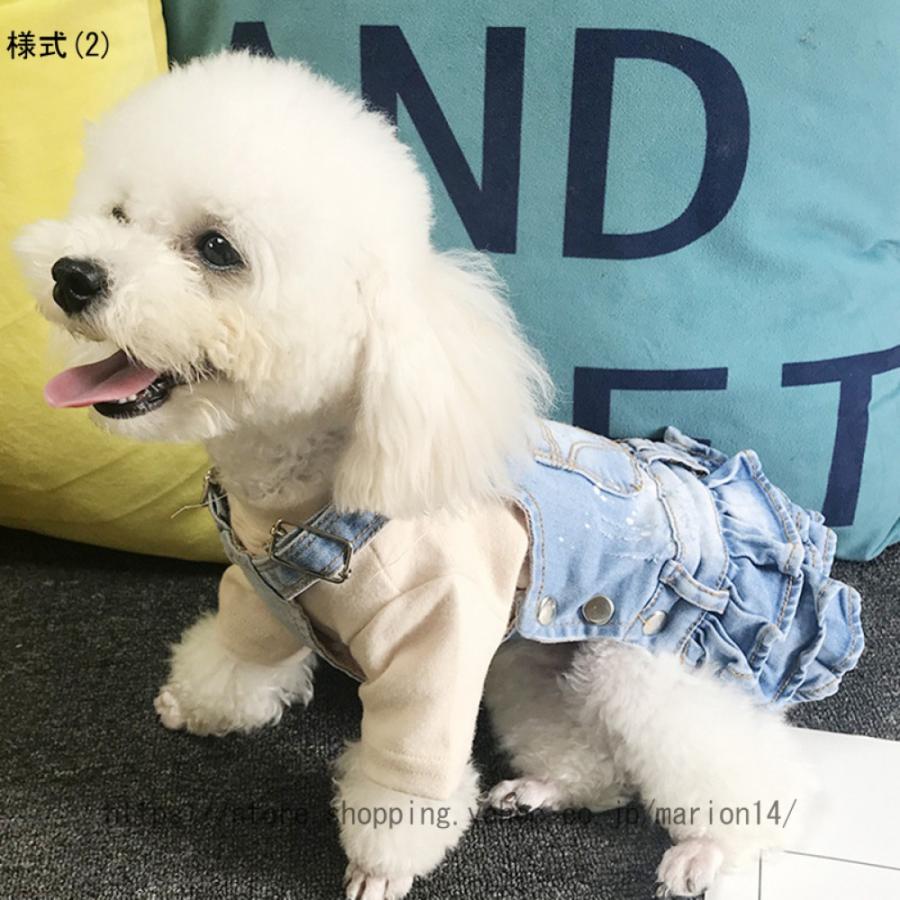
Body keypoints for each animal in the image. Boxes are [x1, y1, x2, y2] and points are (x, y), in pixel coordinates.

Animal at [15, 52, 856, 896]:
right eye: (118, 213)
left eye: (218, 248)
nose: (71, 275)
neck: (302, 495)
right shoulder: (256, 592)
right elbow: (235, 655)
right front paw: (199, 706)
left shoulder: (435, 640)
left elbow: (406, 775)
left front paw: (377, 868)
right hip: (532, 666)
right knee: (600, 768)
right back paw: (543, 787)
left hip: (652, 665)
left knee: (750, 774)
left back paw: (710, 852)